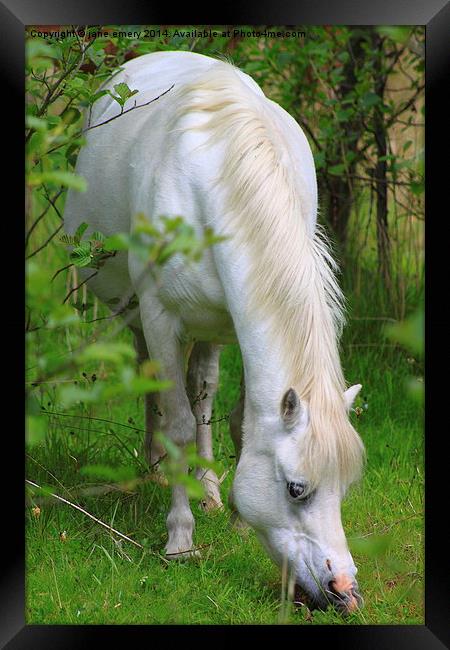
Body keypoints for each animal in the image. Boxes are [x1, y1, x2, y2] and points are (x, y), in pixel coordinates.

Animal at [63, 52, 366, 612]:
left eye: (346, 487)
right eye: (296, 489)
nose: (343, 591)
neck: (219, 178)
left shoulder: (239, 324)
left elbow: (238, 420)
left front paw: (236, 520)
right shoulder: (160, 316)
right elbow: (179, 421)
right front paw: (180, 539)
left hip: (212, 327)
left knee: (201, 388)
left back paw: (205, 486)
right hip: (136, 311)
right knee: (158, 385)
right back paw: (155, 464)